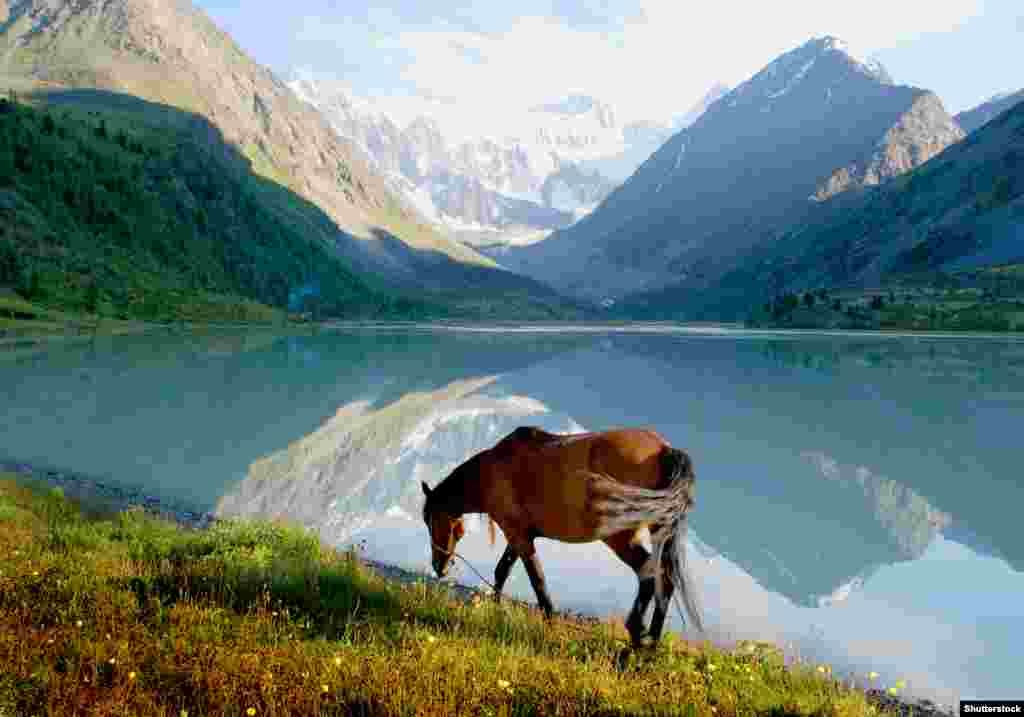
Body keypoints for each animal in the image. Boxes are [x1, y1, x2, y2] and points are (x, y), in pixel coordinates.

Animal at [421, 426, 703, 647]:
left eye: (429, 520)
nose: (440, 566)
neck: (492, 472)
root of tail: (664, 449)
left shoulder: (517, 535)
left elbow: (536, 580)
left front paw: (548, 624)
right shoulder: (519, 535)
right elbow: (503, 571)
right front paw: (495, 610)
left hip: (621, 536)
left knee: (648, 572)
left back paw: (635, 635)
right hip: (658, 531)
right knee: (665, 578)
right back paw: (651, 643)